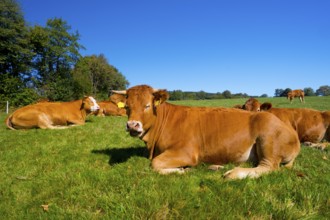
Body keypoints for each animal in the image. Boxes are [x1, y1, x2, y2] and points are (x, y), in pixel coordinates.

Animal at [114, 85, 302, 180]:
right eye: (127, 107)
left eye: (147, 105)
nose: (132, 125)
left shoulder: (187, 152)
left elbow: (155, 164)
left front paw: (181, 170)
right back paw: (216, 166)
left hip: (268, 141)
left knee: (269, 167)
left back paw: (234, 173)